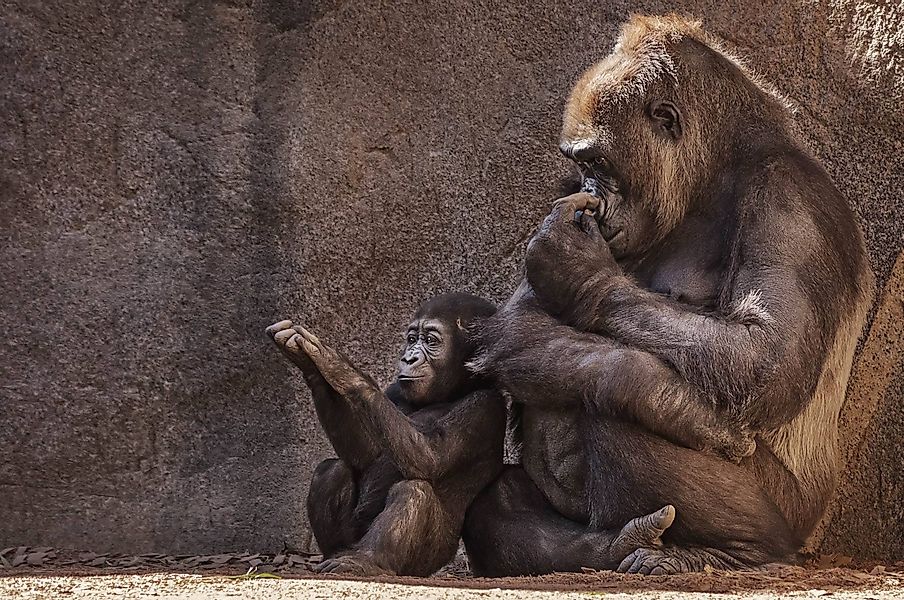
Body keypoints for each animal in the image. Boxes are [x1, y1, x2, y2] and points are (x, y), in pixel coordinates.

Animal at [264, 294, 676, 576]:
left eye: (430, 340)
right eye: (411, 338)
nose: (409, 357)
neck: (453, 388)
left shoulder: (484, 407)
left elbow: (428, 457)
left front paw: (333, 365)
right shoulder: (396, 391)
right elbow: (364, 453)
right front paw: (309, 364)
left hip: (426, 560)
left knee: (413, 490)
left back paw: (364, 562)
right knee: (330, 470)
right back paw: (336, 554)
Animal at [462, 15, 872, 576]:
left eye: (600, 163)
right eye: (581, 167)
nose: (593, 195)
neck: (715, 172)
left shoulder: (791, 202)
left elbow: (764, 359)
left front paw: (579, 272)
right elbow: (520, 321)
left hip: (791, 520)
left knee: (616, 403)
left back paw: (733, 550)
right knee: (498, 501)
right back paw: (608, 546)